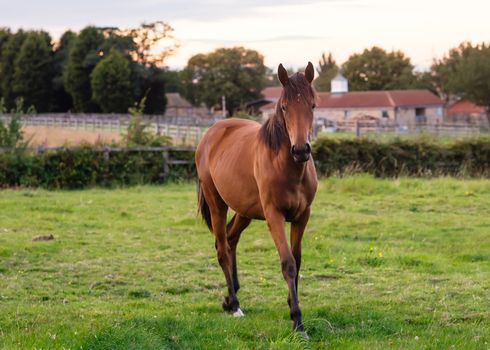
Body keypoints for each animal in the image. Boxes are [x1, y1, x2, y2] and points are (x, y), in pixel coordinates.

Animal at [195, 61, 318, 332]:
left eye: (313, 105)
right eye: (284, 107)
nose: (301, 150)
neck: (287, 166)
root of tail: (211, 134)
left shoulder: (302, 216)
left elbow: (298, 261)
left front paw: (292, 305)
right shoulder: (274, 216)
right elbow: (288, 263)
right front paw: (297, 320)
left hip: (245, 210)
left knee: (231, 240)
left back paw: (230, 297)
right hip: (216, 203)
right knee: (221, 247)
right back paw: (235, 305)